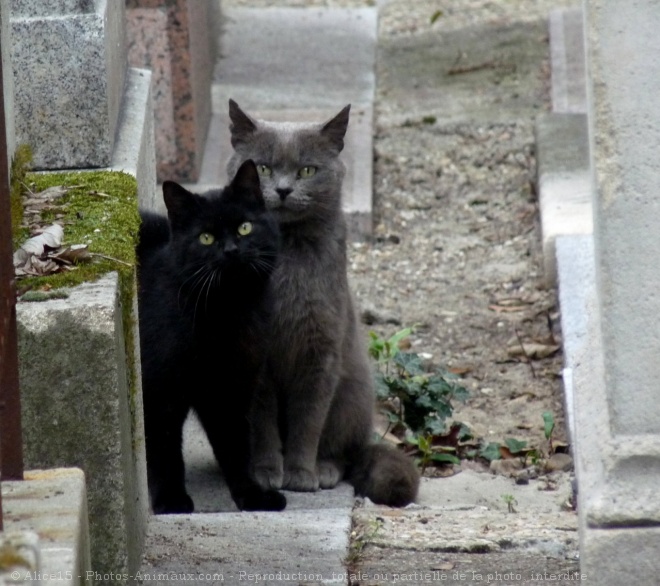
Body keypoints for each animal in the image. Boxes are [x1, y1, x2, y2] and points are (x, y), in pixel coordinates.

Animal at [138, 159, 284, 512]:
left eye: (244, 227)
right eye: (205, 237)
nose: (230, 249)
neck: (225, 314)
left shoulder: (231, 389)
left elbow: (236, 445)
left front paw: (251, 495)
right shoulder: (158, 392)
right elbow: (164, 451)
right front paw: (171, 499)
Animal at [227, 98, 418, 504]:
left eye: (307, 169)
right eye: (263, 167)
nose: (283, 189)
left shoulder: (320, 352)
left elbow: (308, 422)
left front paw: (300, 475)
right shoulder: (260, 359)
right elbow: (265, 425)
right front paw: (268, 473)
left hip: (353, 395)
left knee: (344, 453)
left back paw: (326, 470)